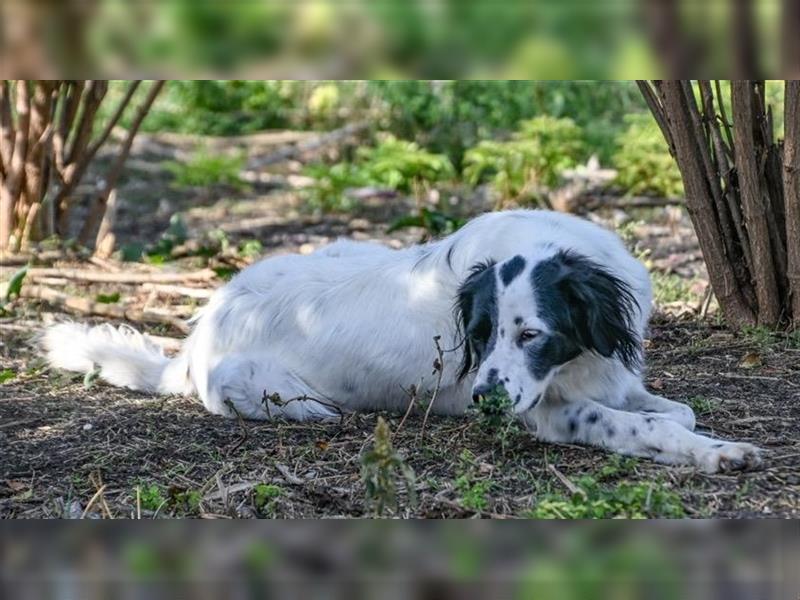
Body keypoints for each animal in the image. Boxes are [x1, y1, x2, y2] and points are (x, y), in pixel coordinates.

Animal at [45, 211, 764, 474]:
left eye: (530, 333)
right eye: (479, 335)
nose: (483, 404)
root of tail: (198, 335)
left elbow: (676, 410)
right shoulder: (551, 411)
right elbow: (649, 427)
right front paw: (719, 452)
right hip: (272, 393)